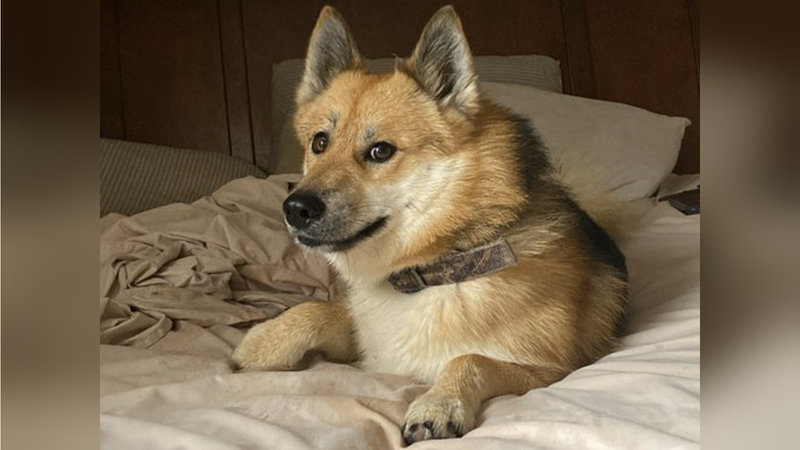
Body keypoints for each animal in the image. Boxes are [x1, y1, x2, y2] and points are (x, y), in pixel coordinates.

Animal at [234, 5, 628, 444]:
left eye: (381, 151)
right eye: (320, 143)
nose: (295, 208)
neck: (442, 265)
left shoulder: (548, 370)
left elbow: (470, 359)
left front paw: (439, 403)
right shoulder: (370, 346)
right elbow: (319, 309)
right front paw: (261, 343)